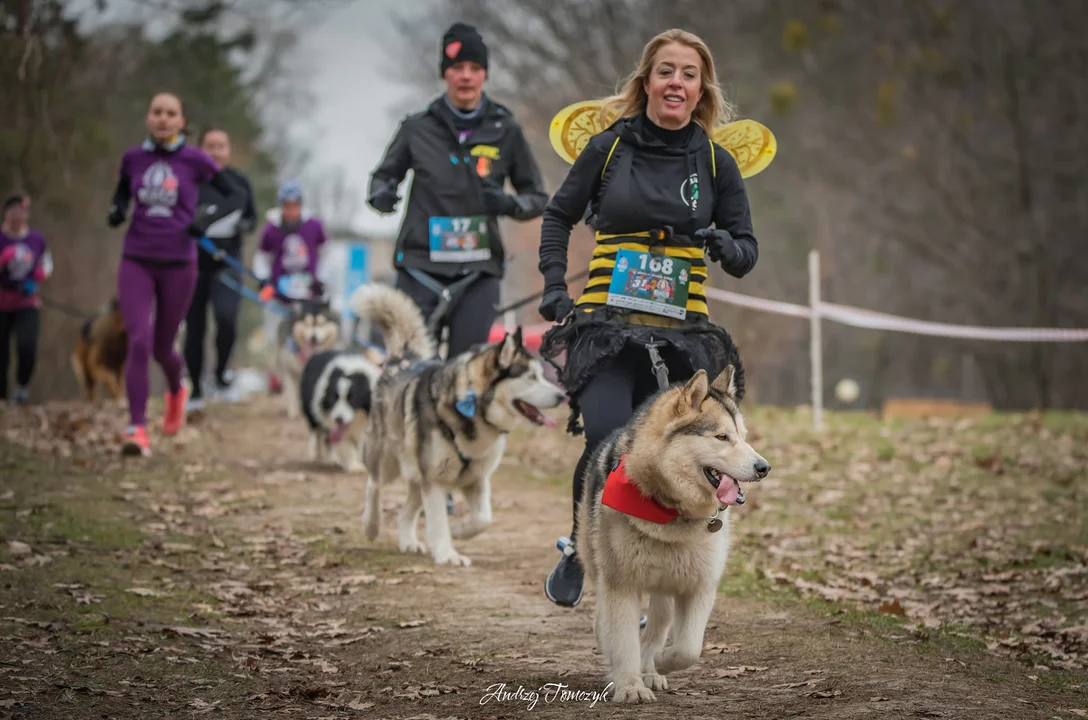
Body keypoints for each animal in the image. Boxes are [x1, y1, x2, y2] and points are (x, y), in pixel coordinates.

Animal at [350, 284, 570, 565]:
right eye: (531, 377)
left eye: (542, 374)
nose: (562, 396)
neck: (471, 409)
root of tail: (402, 359)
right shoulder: (435, 480)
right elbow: (438, 522)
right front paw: (447, 555)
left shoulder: (476, 478)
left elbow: (484, 519)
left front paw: (459, 531)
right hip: (388, 461)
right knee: (374, 485)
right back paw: (371, 525)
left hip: (417, 473)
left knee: (405, 508)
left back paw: (408, 541)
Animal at [578, 367, 774, 704]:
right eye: (721, 437)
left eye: (743, 437)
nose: (764, 467)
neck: (671, 511)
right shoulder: (621, 583)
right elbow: (624, 641)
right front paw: (629, 686)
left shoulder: (699, 586)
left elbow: (688, 649)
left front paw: (658, 663)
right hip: (602, 570)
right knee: (604, 624)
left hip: (665, 589)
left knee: (656, 627)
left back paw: (651, 668)